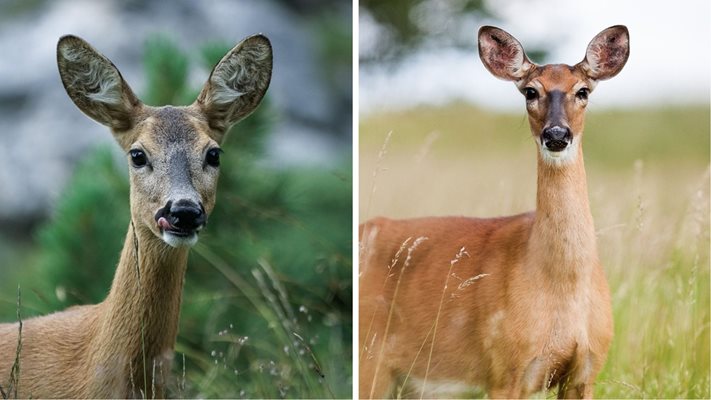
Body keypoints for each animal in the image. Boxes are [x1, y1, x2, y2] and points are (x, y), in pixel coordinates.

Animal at [358, 26, 632, 398]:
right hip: (371, 363)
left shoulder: (586, 370)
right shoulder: (506, 370)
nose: (556, 134)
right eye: (530, 91)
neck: (562, 285)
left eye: (583, 91)